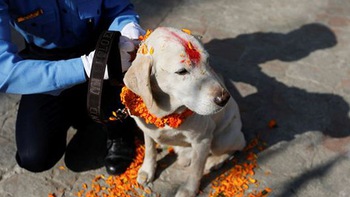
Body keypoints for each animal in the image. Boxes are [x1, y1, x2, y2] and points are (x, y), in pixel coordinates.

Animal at [123, 26, 246, 197]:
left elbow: (196, 169)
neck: (166, 115)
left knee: (238, 145)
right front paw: (147, 170)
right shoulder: (147, 131)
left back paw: (214, 161)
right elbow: (150, 150)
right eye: (182, 71)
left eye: (208, 62)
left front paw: (189, 190)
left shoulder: (203, 140)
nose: (224, 99)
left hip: (221, 140)